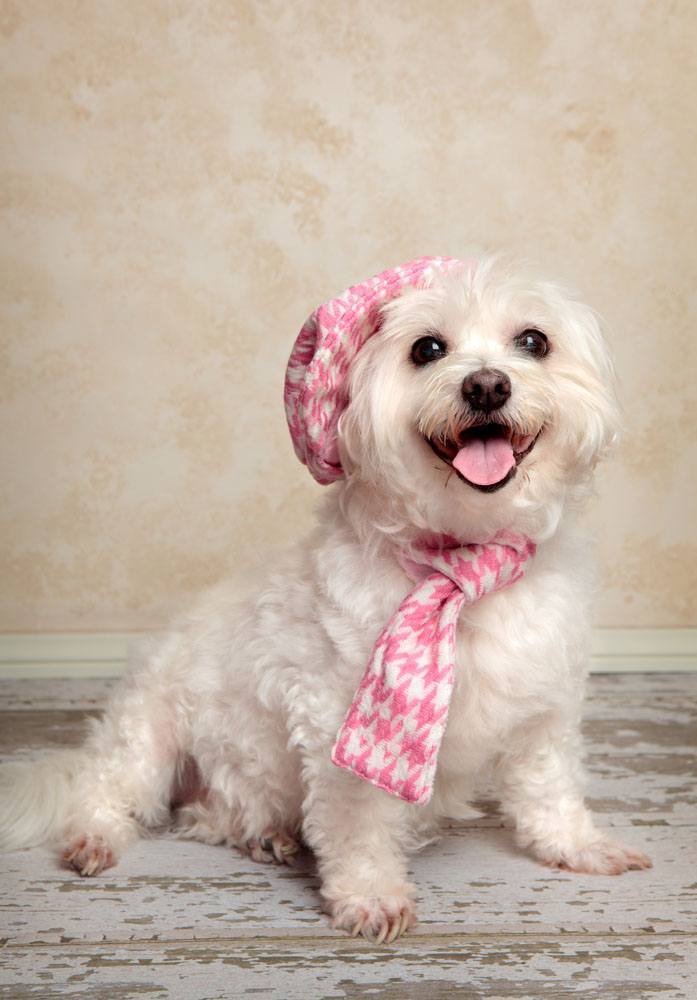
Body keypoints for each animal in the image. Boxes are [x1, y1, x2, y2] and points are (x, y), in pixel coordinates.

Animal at [1, 254, 652, 940]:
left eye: (533, 341)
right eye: (427, 348)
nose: (485, 387)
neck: (462, 564)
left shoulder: (544, 705)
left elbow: (551, 787)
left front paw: (578, 845)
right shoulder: (342, 715)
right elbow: (360, 820)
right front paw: (370, 894)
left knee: (209, 817)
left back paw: (265, 835)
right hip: (147, 733)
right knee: (107, 790)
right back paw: (96, 837)